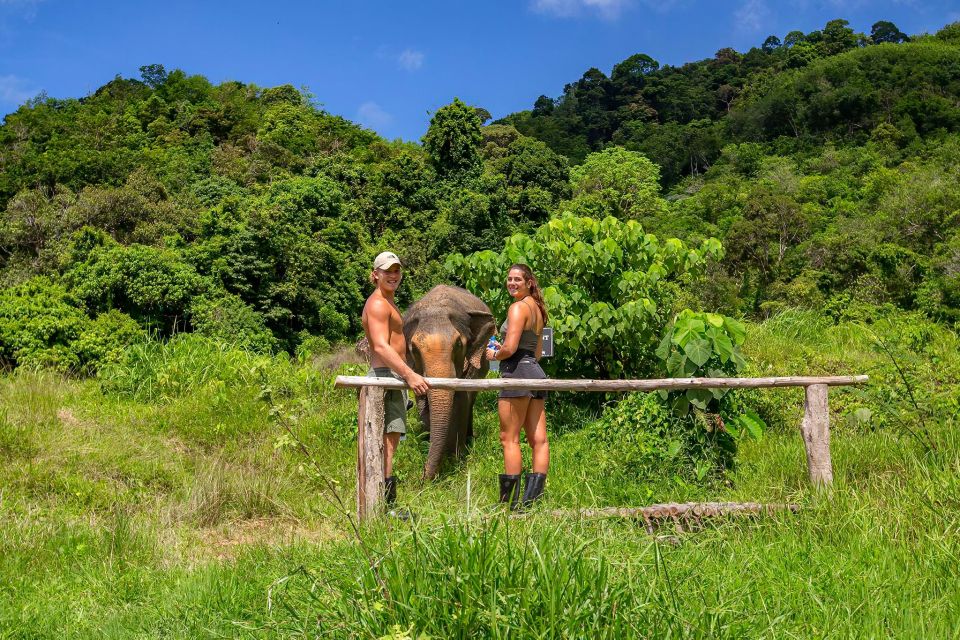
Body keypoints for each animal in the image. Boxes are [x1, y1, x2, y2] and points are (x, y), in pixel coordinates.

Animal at [404, 286, 496, 480]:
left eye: (459, 345)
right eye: (413, 349)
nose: (423, 478)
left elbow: (461, 399)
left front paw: (456, 458)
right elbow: (423, 402)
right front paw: (429, 445)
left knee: (470, 400)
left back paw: (469, 437)